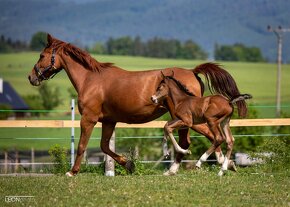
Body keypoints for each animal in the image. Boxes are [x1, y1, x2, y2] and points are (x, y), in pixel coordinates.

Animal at [27, 34, 245, 176]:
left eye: (41, 55)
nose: (31, 77)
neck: (91, 79)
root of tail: (192, 71)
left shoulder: (88, 119)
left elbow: (82, 146)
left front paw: (72, 172)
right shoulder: (109, 121)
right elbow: (104, 147)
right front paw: (129, 165)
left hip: (187, 119)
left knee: (201, 139)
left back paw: (207, 164)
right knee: (207, 138)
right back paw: (220, 164)